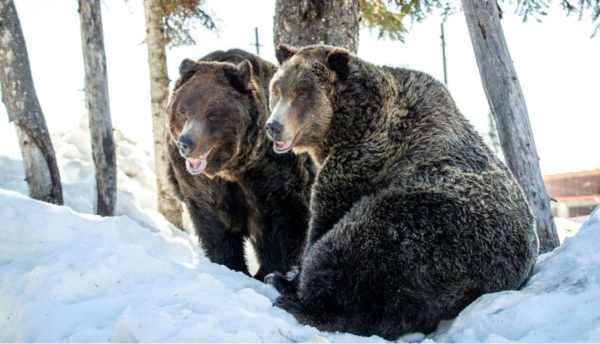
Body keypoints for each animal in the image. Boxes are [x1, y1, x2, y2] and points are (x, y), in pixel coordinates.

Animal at [164, 49, 314, 280]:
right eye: (183, 111)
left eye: (212, 114)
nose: (186, 143)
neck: (232, 167)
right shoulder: (201, 184)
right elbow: (213, 223)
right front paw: (230, 265)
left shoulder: (270, 172)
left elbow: (282, 219)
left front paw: (273, 271)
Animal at [262, 45, 540, 338]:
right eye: (277, 89)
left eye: (302, 93)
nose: (274, 126)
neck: (347, 126)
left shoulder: (360, 162)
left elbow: (322, 221)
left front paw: (289, 275)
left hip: (425, 229)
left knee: (353, 251)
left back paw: (294, 300)